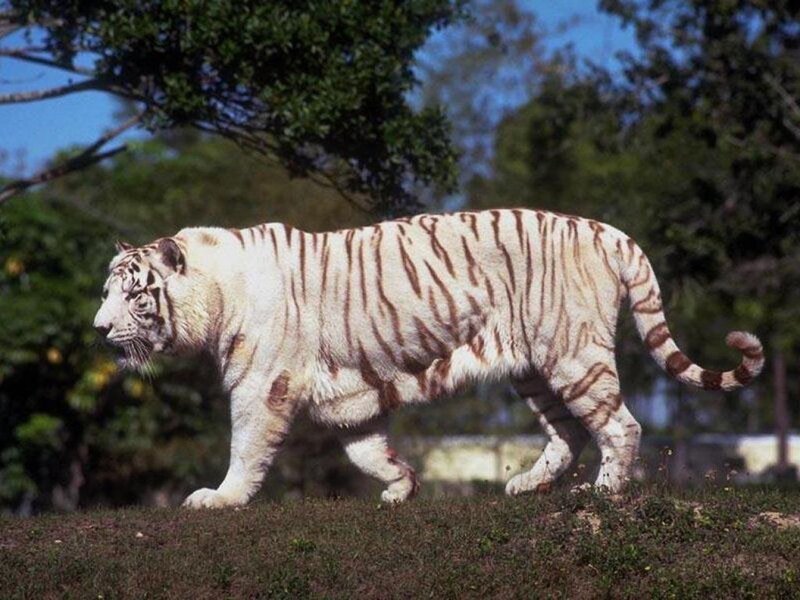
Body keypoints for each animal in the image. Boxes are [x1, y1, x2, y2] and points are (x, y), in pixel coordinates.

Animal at [93, 208, 764, 508]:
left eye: (134, 293)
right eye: (106, 290)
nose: (99, 329)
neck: (214, 294)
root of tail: (610, 231)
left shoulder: (260, 385)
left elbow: (246, 447)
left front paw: (220, 498)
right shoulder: (349, 395)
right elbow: (366, 450)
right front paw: (402, 486)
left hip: (572, 353)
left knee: (620, 424)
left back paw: (603, 495)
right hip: (533, 367)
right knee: (568, 433)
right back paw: (525, 484)